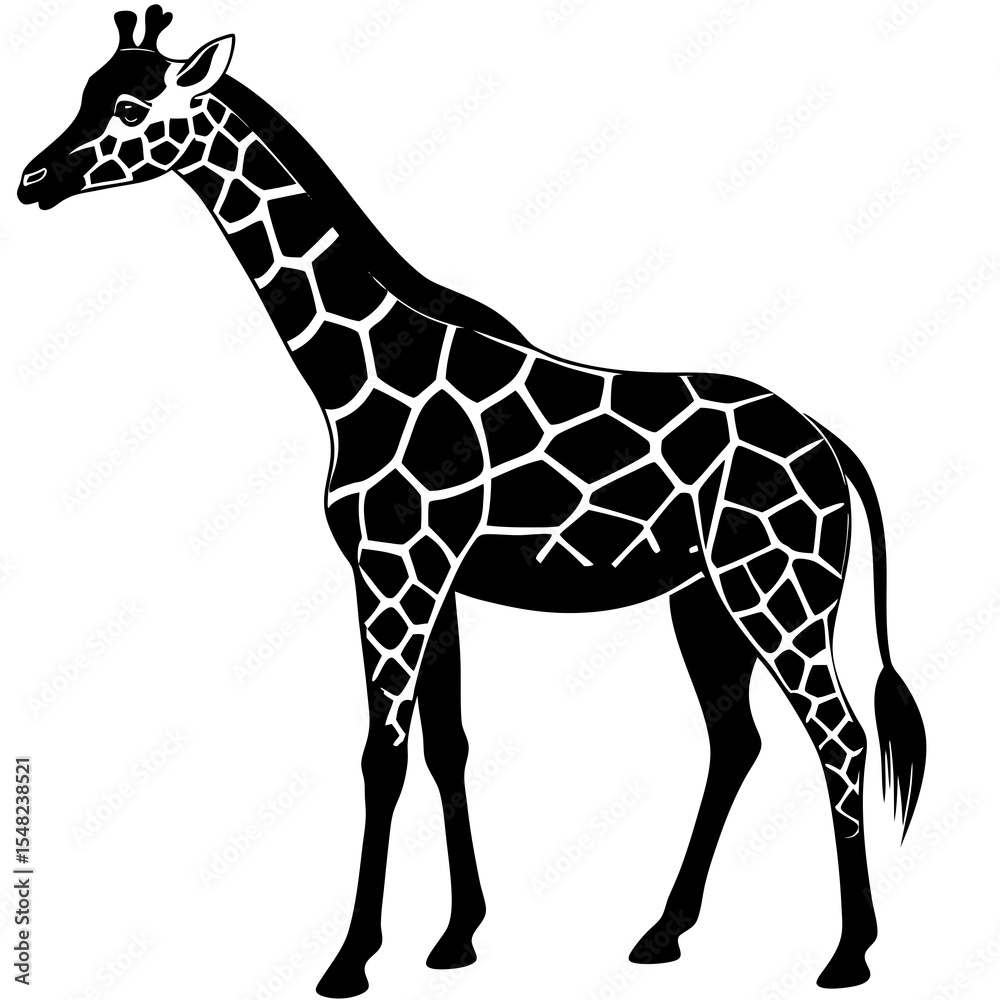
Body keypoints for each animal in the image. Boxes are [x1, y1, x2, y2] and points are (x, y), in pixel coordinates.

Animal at [18, 8, 928, 997]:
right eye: (83, 94)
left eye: (130, 107)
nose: (32, 183)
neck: (359, 374)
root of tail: (828, 443)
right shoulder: (433, 582)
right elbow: (446, 744)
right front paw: (456, 938)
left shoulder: (395, 575)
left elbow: (381, 753)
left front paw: (349, 959)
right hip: (705, 600)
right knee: (738, 742)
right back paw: (663, 932)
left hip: (778, 590)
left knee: (839, 739)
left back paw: (847, 954)